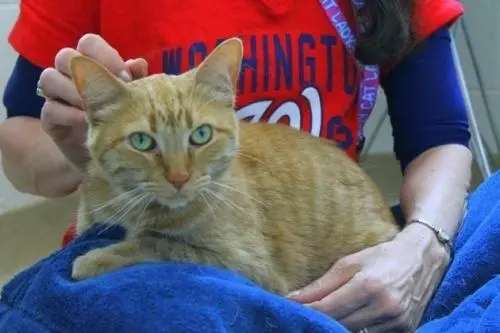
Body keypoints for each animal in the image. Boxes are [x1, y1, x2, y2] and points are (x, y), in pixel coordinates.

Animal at [70, 37, 398, 294]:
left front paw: (97, 258)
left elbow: (159, 245)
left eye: (201, 135)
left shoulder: (249, 266)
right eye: (141, 141)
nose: (179, 178)